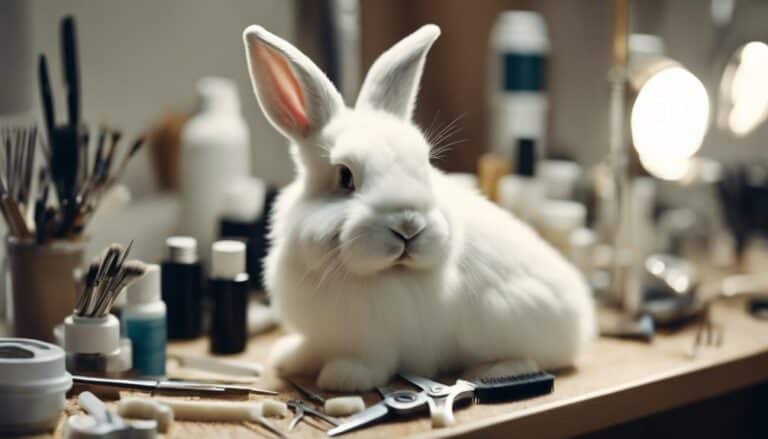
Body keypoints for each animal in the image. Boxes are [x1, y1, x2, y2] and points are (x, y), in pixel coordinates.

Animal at [242, 23, 596, 392]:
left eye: (424, 164)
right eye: (344, 176)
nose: (408, 227)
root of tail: (583, 321)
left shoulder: (376, 343)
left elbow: (368, 364)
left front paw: (341, 379)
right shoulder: (324, 335)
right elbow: (311, 347)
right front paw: (289, 358)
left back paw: (491, 371)